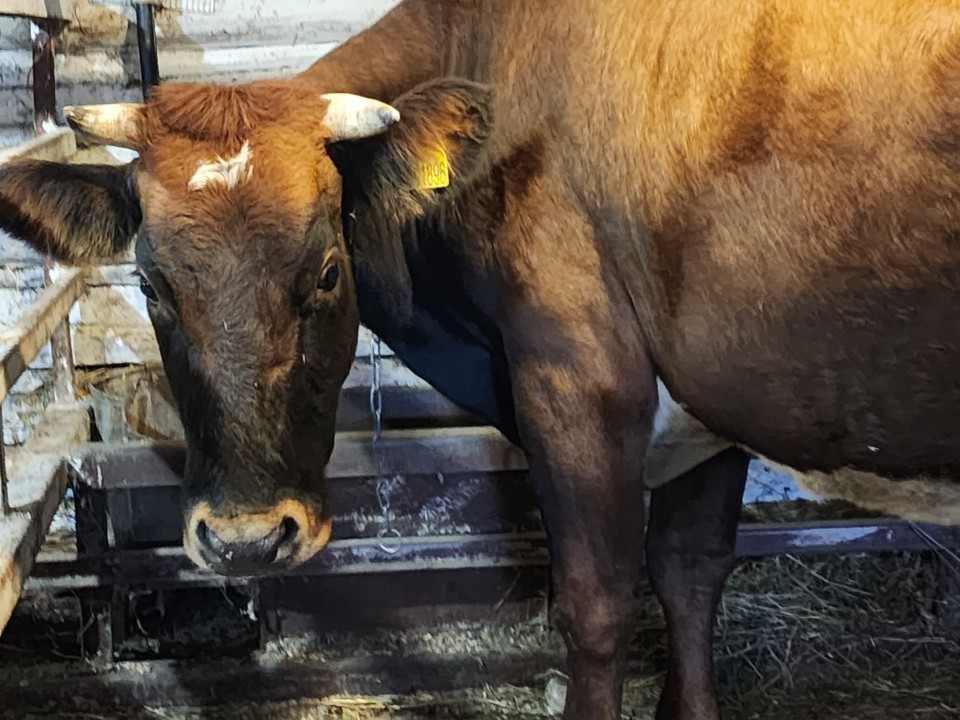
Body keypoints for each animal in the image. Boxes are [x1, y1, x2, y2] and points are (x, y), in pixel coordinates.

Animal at [1, 1, 960, 720]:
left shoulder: (577, 379)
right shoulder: (704, 393)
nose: (244, 539)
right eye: (152, 283)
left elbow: (597, 606)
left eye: (327, 270)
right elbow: (690, 578)